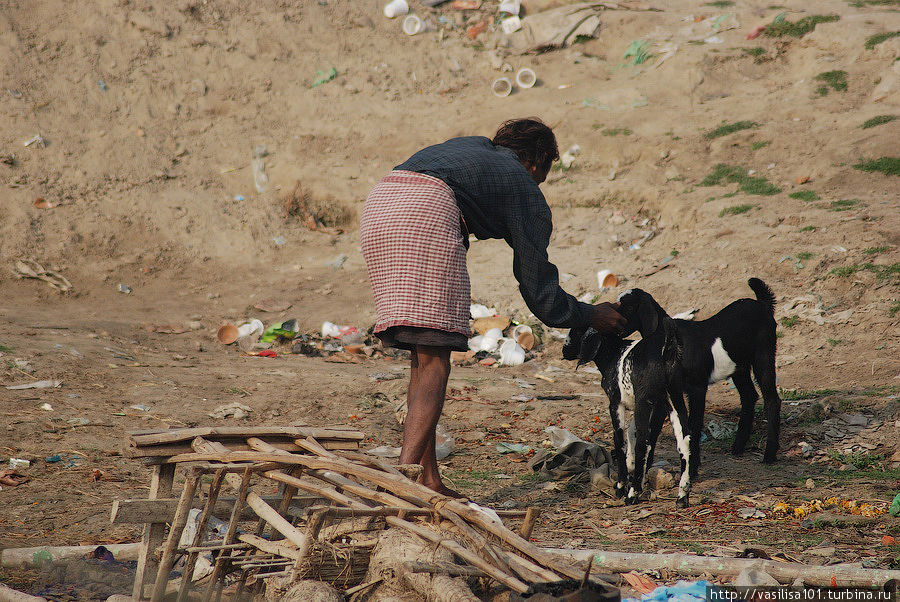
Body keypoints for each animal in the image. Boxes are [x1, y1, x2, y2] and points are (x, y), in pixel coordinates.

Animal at [564, 288, 696, 504]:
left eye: (576, 331)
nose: (564, 350)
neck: (614, 353)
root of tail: (667, 349)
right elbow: (631, 435)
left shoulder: (616, 403)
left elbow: (620, 441)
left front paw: (621, 485)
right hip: (673, 398)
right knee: (684, 440)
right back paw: (682, 496)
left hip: (645, 400)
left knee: (644, 442)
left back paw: (632, 494)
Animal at [676, 276, 780, 474]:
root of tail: (762, 304)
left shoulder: (697, 388)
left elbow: (694, 424)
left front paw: (692, 469)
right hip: (739, 366)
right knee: (749, 395)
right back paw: (738, 447)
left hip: (764, 355)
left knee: (771, 399)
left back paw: (769, 455)